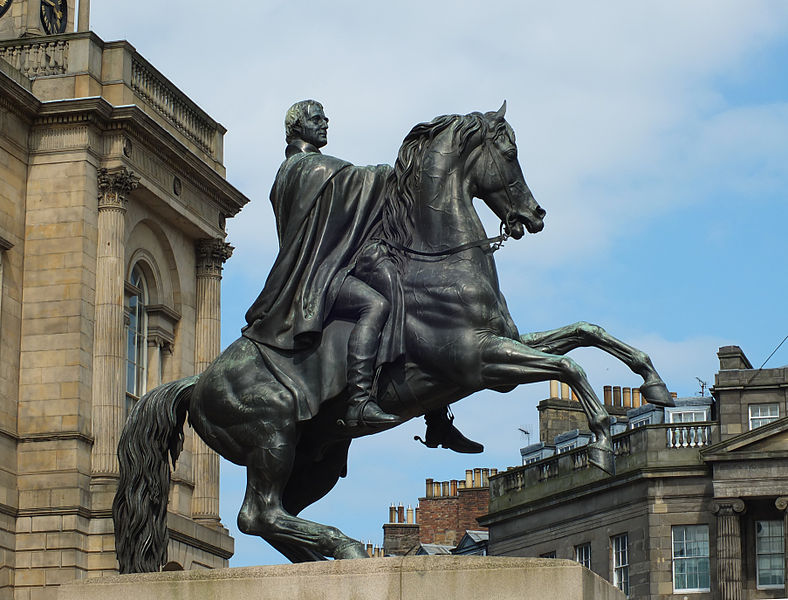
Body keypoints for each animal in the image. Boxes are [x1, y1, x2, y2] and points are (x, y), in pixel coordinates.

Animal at [115, 103, 672, 572]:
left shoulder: (504, 342)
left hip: (312, 459)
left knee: (273, 518)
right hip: (272, 437)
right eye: (510, 154)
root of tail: (196, 383)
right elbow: (569, 366)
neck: (440, 262)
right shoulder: (481, 360)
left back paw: (331, 558)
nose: (534, 216)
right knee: (257, 514)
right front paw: (601, 440)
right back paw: (345, 545)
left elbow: (586, 333)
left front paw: (653, 383)